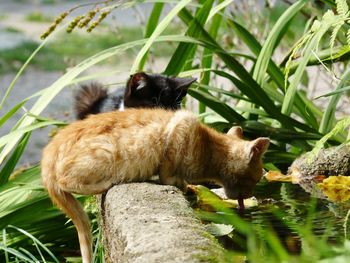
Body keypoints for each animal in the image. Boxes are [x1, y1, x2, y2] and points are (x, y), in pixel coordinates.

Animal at [41, 108, 270, 263]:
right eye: (256, 179)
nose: (249, 194)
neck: (210, 148)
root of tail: (47, 157)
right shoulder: (179, 130)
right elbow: (167, 173)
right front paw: (178, 182)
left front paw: (186, 185)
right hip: (104, 155)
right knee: (66, 182)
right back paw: (105, 183)